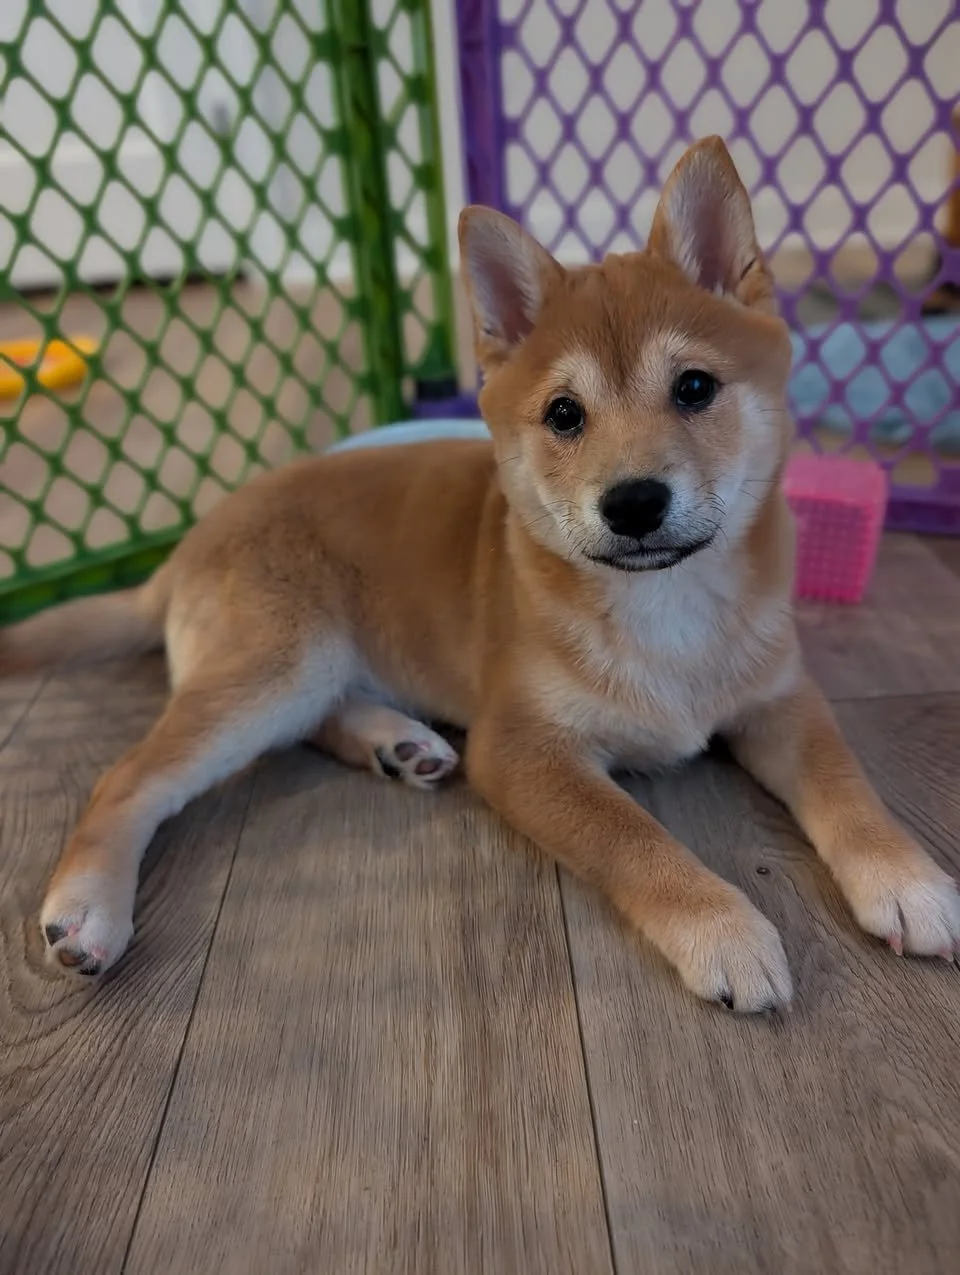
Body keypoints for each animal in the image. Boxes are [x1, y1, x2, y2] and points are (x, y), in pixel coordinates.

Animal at [3, 137, 957, 1009]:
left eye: (694, 387)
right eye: (564, 414)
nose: (633, 502)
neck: (668, 609)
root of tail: (188, 543)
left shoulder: (782, 701)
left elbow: (846, 786)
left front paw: (906, 877)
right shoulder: (525, 749)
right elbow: (636, 838)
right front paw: (722, 928)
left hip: (304, 669)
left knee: (314, 719)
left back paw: (396, 742)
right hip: (279, 662)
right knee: (129, 777)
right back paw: (87, 906)